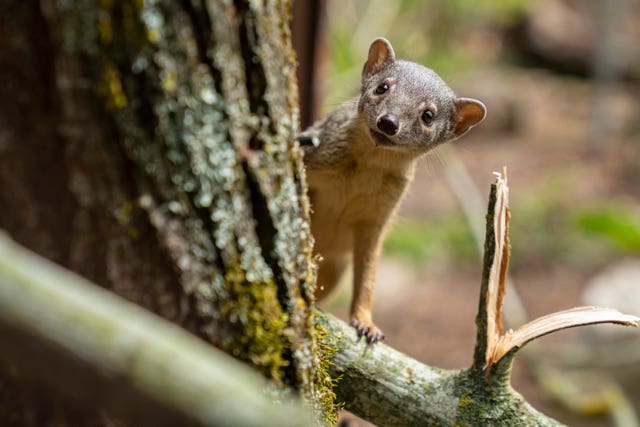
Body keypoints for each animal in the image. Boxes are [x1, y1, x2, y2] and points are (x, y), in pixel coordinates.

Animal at [300, 38, 484, 342]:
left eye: (428, 115)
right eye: (382, 87)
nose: (388, 122)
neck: (369, 168)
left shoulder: (376, 219)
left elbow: (368, 274)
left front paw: (366, 323)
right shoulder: (315, 158)